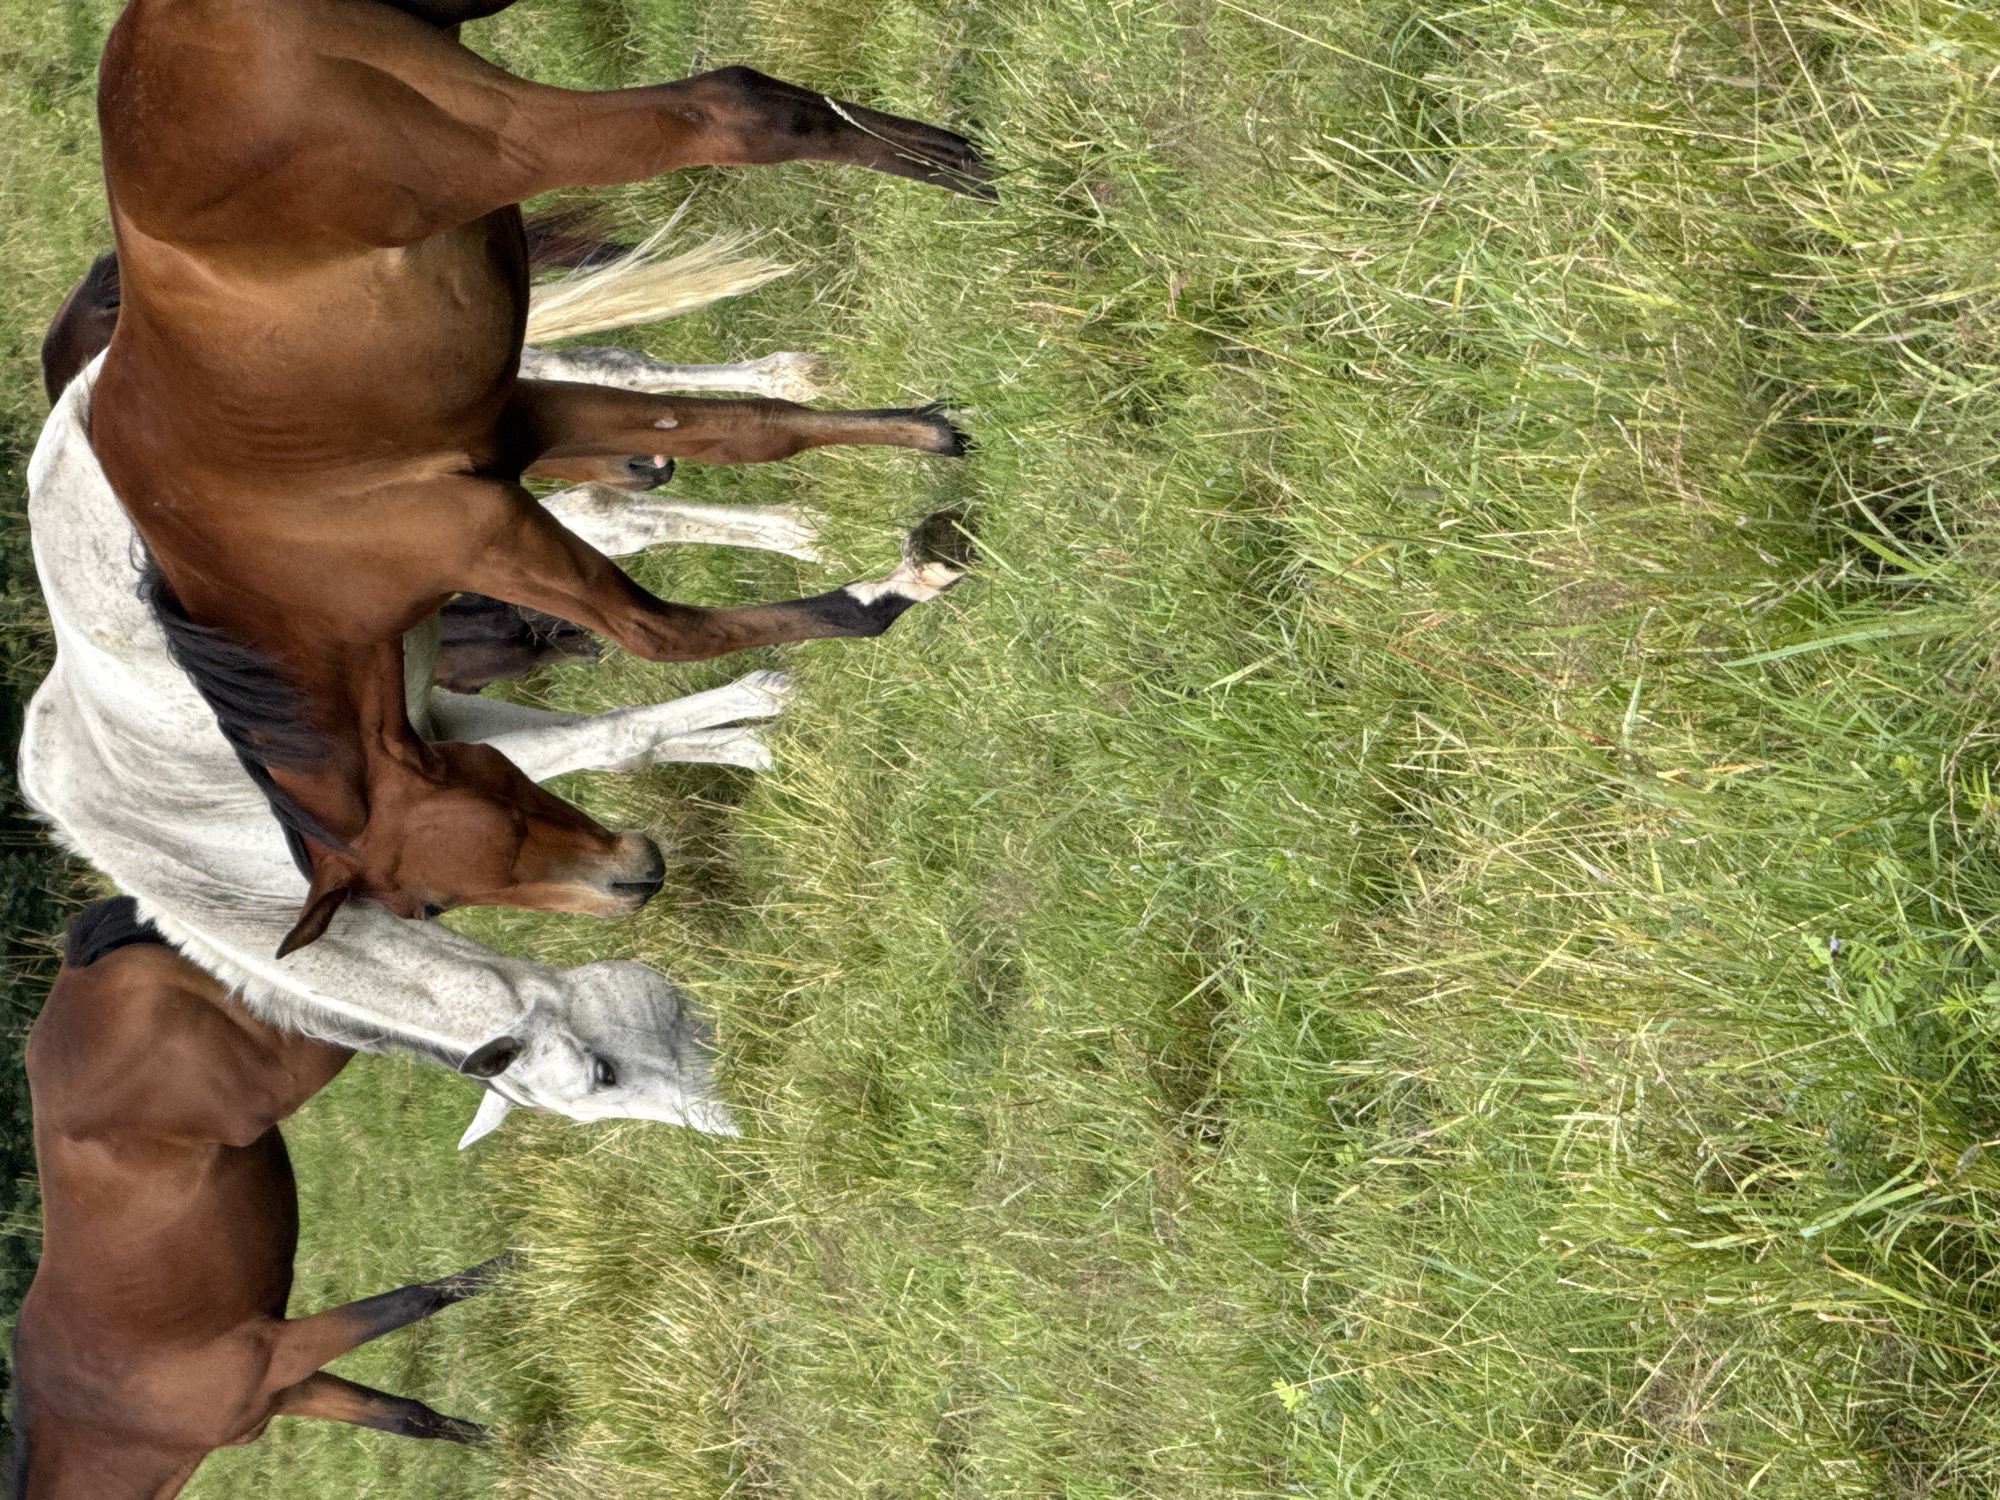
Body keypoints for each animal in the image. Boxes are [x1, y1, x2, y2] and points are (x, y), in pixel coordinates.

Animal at [12, 896, 499, 1499]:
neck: (107, 1418)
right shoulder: (285, 1388)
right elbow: (413, 1418)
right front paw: (511, 1449)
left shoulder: (275, 1353)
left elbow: (418, 1299)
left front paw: (521, 1268)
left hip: (289, 1064)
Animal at [93, 0, 990, 951]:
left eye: (427, 904)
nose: (635, 880)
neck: (270, 574)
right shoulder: (528, 418)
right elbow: (744, 432)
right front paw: (927, 436)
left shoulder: (492, 536)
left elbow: (664, 634)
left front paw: (891, 589)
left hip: (500, 141)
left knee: (736, 112)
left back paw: (968, 170)